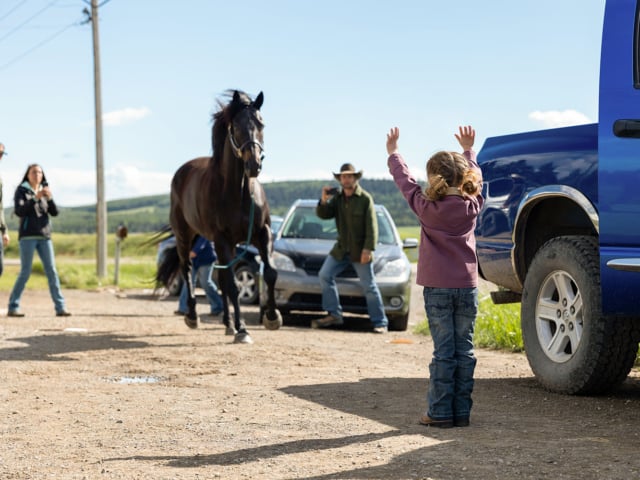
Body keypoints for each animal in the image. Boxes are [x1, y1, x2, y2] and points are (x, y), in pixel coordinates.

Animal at [170, 90, 280, 344]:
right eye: (236, 126)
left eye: (261, 123)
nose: (253, 164)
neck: (239, 191)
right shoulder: (222, 239)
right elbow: (233, 286)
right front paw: (243, 330)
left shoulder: (262, 233)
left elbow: (270, 273)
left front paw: (272, 317)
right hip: (185, 236)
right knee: (187, 269)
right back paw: (193, 316)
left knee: (219, 279)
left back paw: (227, 323)